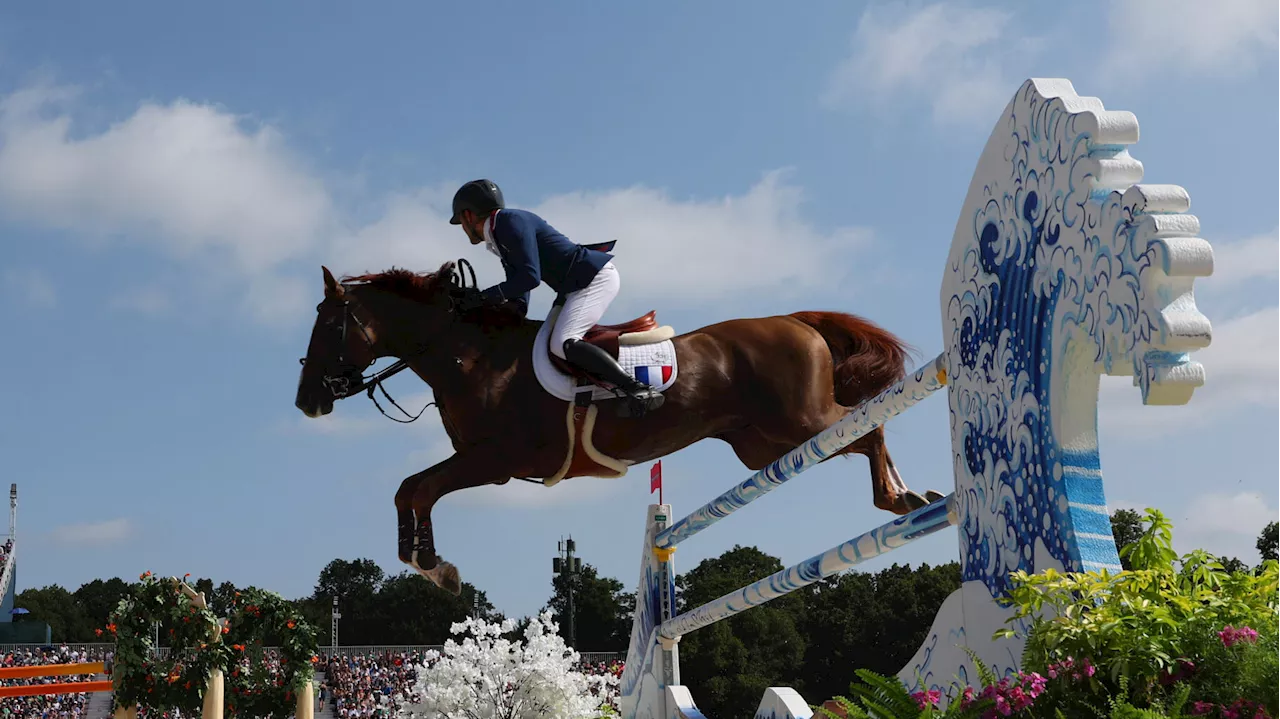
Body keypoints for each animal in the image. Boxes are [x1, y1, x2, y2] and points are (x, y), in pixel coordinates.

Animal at [296, 263, 942, 593]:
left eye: (328, 323)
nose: (306, 403)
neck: (469, 355)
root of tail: (795, 320)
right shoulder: (481, 463)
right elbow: (408, 489)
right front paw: (425, 561)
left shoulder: (495, 462)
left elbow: (419, 487)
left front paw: (435, 567)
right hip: (765, 448)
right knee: (856, 437)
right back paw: (910, 497)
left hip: (799, 423)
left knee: (868, 430)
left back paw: (902, 498)